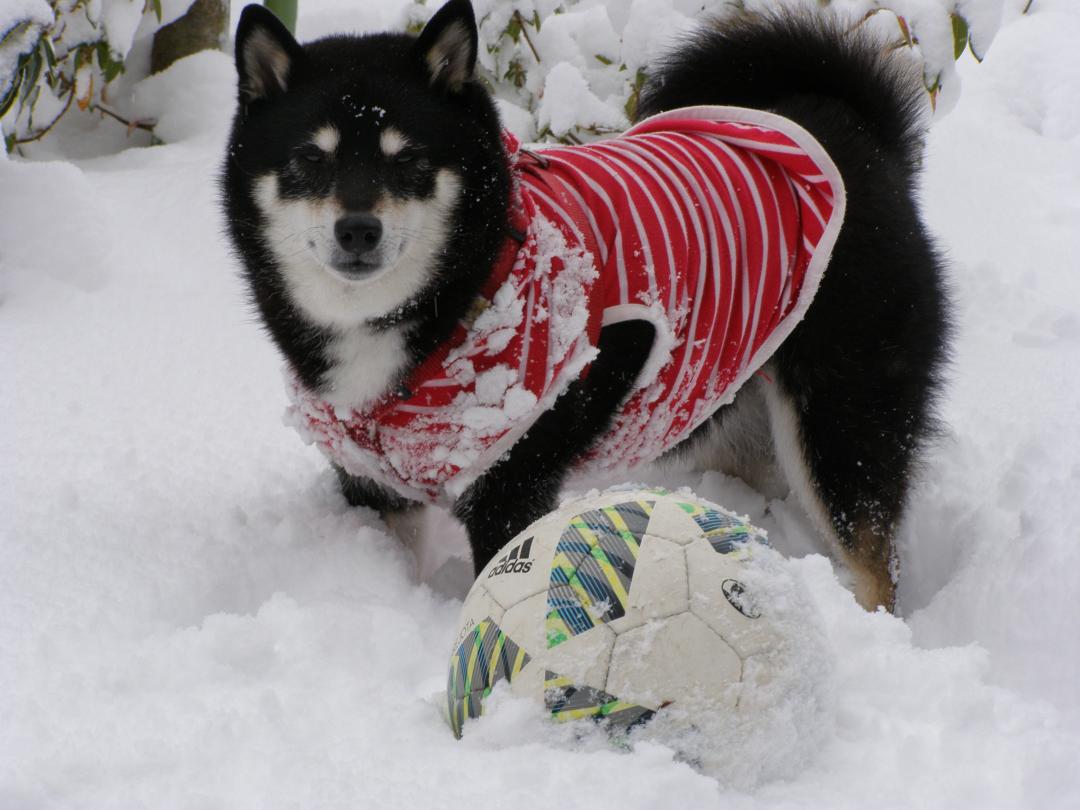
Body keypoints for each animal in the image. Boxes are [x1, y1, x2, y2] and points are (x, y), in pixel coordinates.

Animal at [219, 0, 946, 609]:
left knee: (873, 561)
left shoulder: (513, 485)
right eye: (310, 157)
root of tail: (850, 127)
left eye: (410, 159)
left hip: (842, 424)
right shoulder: (373, 484)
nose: (358, 230)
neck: (461, 293)